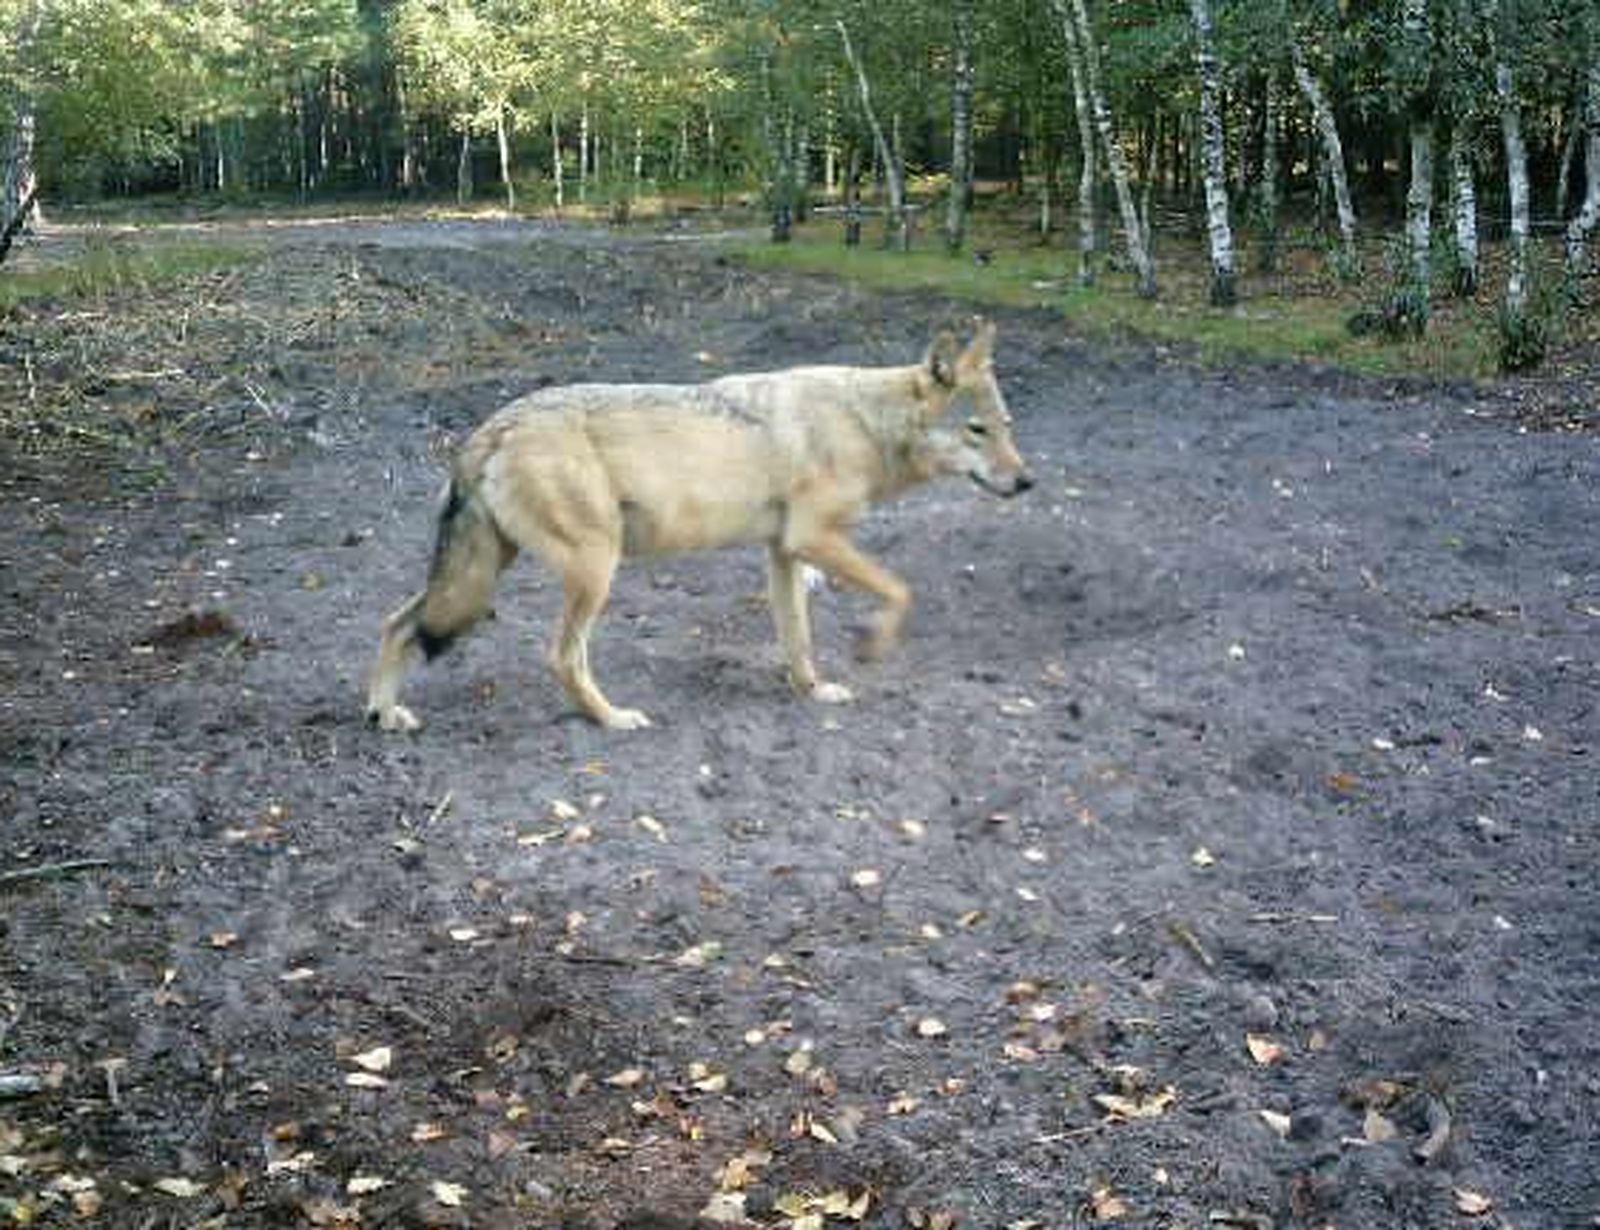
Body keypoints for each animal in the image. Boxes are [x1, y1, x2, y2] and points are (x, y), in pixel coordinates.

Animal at [364, 321, 1030, 735]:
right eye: (976, 431)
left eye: (1006, 426)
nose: (1026, 482)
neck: (864, 422)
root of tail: (490, 427)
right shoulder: (814, 541)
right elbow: (900, 590)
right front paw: (872, 644)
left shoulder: (784, 553)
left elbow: (798, 641)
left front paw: (812, 691)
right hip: (593, 573)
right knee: (562, 657)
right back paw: (612, 719)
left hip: (487, 574)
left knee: (397, 621)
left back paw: (384, 713)